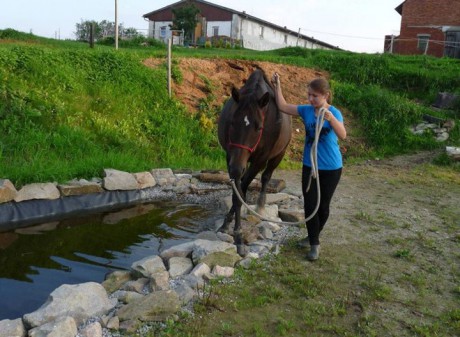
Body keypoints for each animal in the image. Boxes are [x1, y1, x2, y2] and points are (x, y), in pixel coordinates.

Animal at [218, 69, 292, 255]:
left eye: (259, 127)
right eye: (232, 122)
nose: (237, 169)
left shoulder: (258, 161)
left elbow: (240, 193)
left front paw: (238, 236)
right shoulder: (230, 157)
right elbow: (237, 193)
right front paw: (228, 225)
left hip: (278, 156)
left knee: (266, 177)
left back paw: (260, 206)